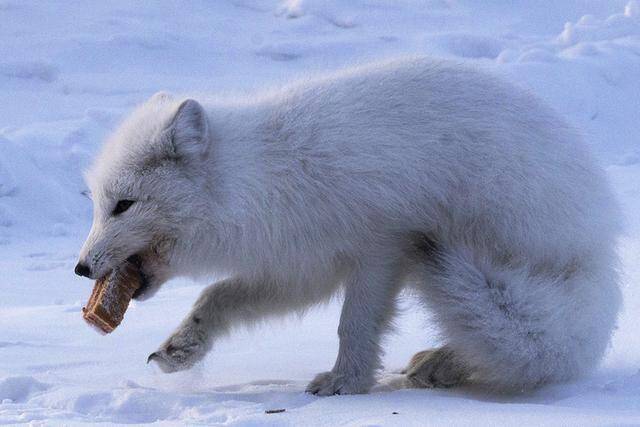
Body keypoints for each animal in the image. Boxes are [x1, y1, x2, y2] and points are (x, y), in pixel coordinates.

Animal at [75, 57, 620, 394]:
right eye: (98, 205)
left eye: (124, 205)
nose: (81, 268)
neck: (265, 179)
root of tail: (601, 261)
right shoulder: (302, 266)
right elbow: (217, 297)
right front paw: (181, 348)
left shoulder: (381, 249)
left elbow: (353, 325)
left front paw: (346, 383)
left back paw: (445, 363)